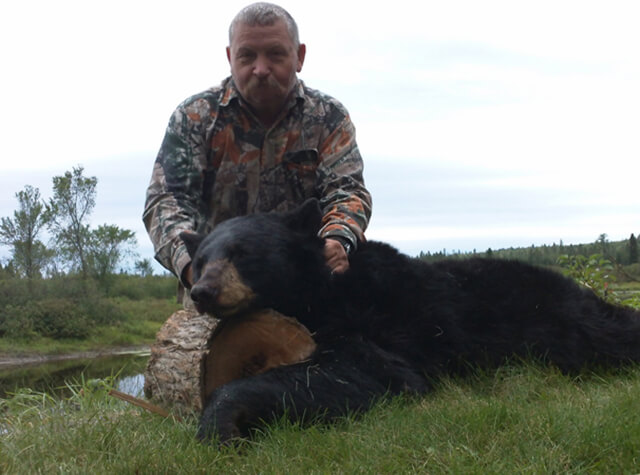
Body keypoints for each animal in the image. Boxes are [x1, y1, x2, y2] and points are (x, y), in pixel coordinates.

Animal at [179, 201, 640, 446]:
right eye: (201, 260)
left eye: (243, 254)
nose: (204, 291)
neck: (317, 291)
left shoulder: (366, 320)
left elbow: (373, 373)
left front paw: (221, 424)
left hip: (553, 316)